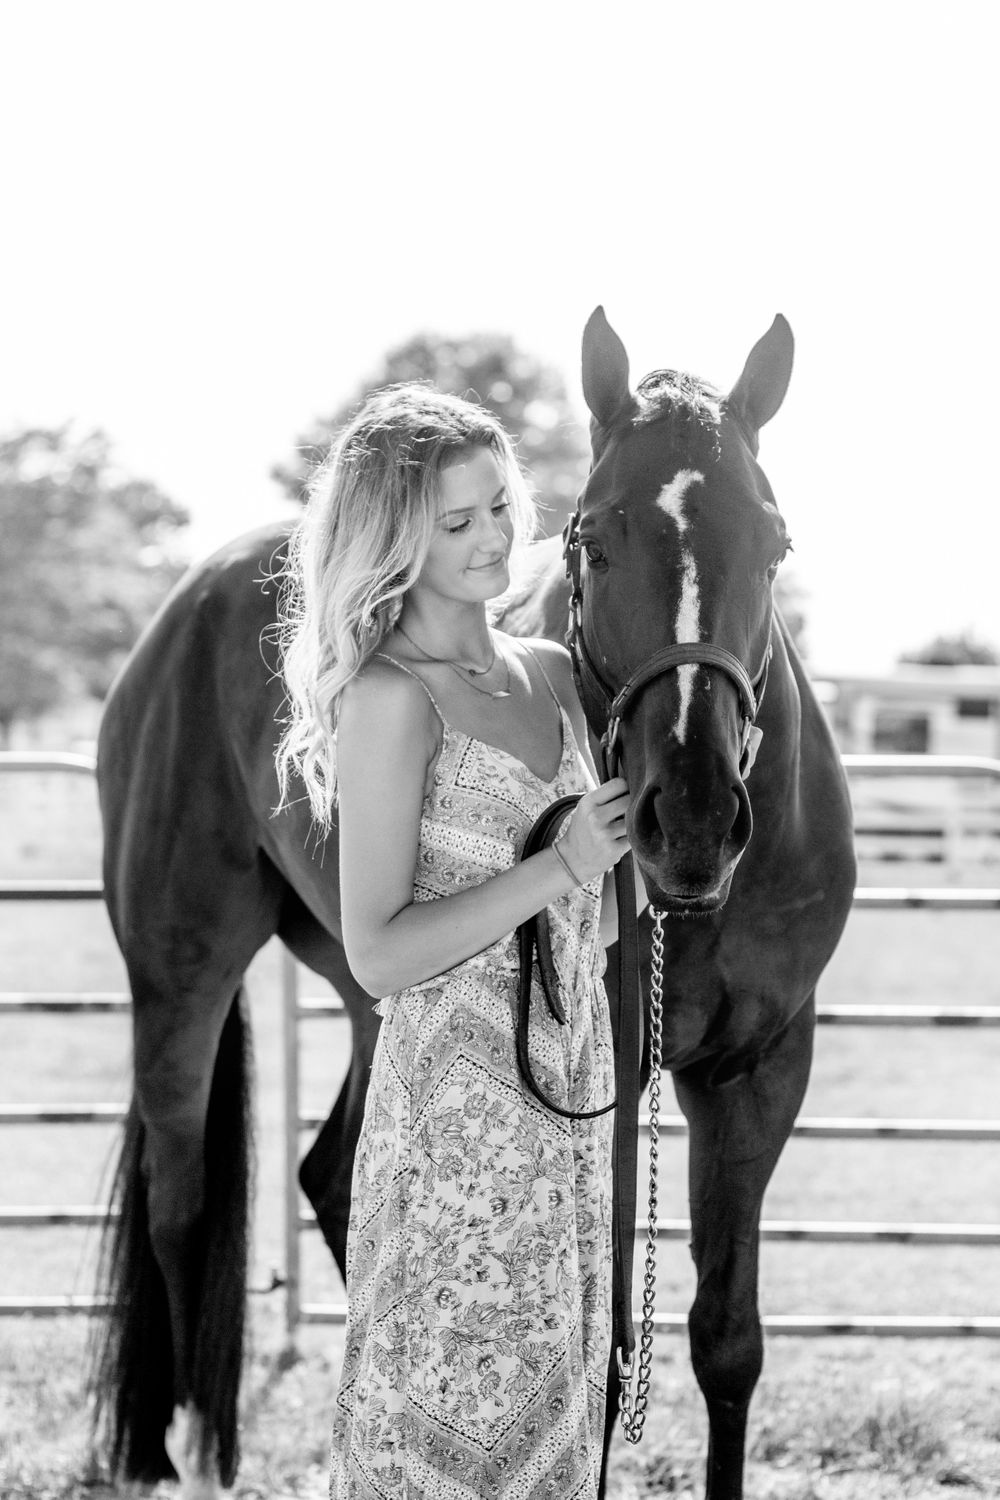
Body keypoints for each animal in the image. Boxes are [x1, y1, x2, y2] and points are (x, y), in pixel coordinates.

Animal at [91, 308, 856, 1500]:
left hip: (372, 983)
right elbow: (603, 1366)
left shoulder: (762, 1069)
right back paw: (188, 1463)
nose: (687, 823)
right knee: (180, 1198)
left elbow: (727, 1343)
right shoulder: (612, 1080)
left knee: (331, 1176)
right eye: (593, 541)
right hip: (178, 971)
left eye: (772, 542)